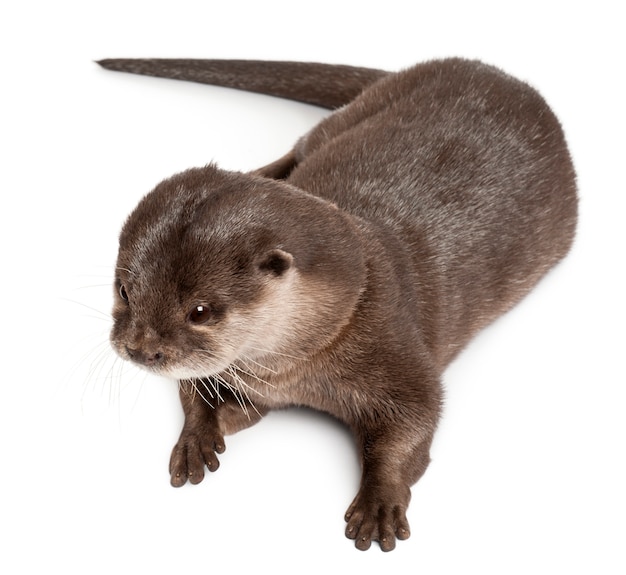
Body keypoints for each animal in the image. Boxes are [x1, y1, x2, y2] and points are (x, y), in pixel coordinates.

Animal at [101, 56, 576, 552]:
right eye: (125, 290)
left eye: (200, 311)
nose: (140, 350)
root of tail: (494, 71)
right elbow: (200, 391)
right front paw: (199, 436)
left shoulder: (395, 349)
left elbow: (416, 418)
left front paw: (379, 503)